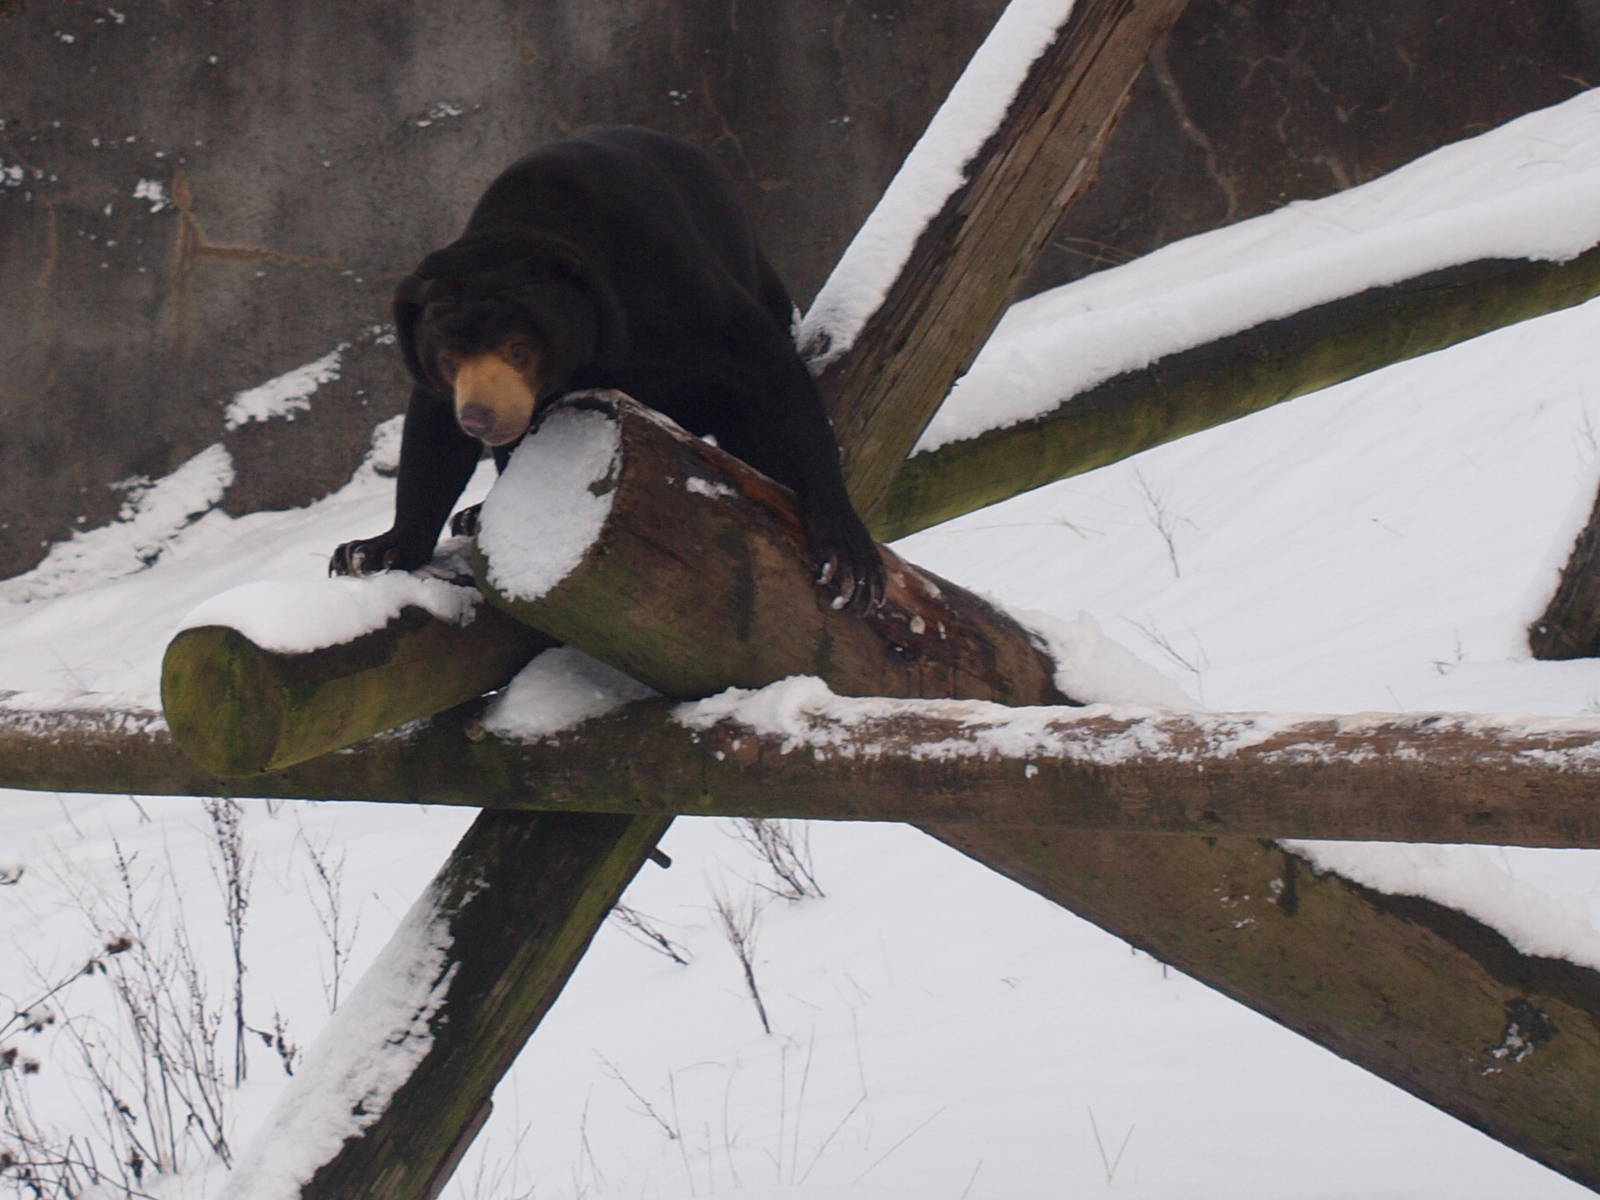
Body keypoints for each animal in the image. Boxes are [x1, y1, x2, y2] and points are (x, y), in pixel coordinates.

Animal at [329, 126, 883, 610]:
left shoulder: (669, 281)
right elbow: (433, 435)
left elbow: (768, 375)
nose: (480, 417)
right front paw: (368, 551)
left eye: (518, 349)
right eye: (447, 360)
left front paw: (850, 562)